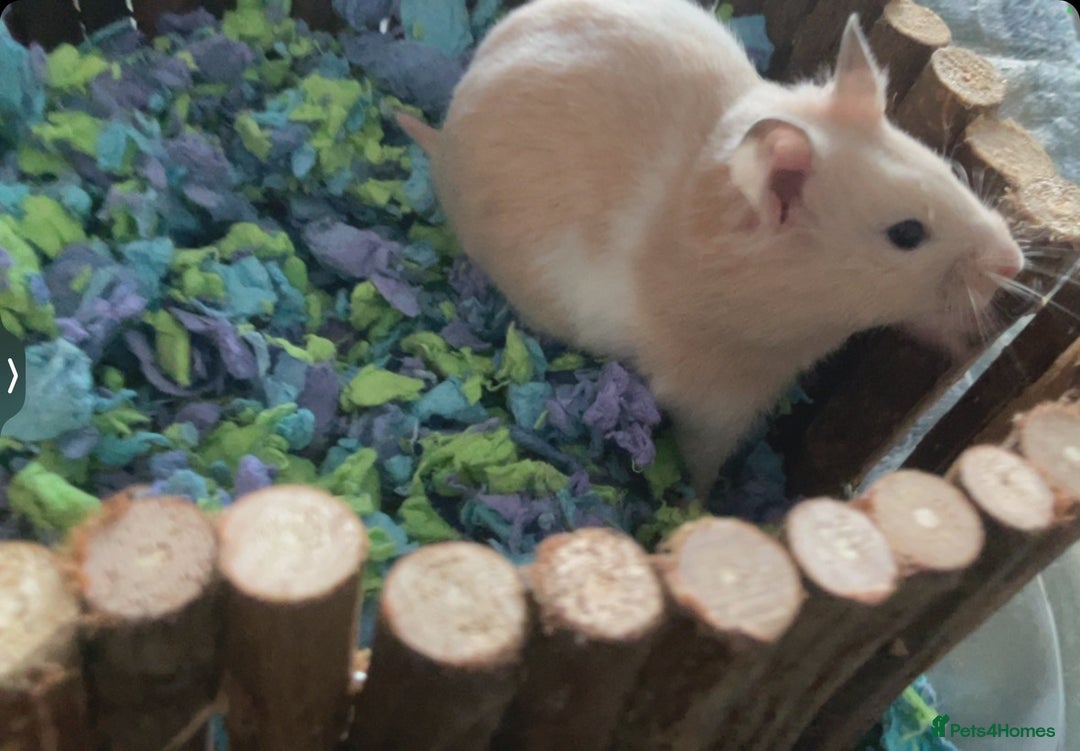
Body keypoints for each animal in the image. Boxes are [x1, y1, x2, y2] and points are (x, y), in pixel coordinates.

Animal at [396, 0, 1025, 500]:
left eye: (948, 169)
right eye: (907, 235)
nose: (1015, 262)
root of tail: (445, 128)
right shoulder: (715, 401)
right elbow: (704, 459)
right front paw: (701, 504)